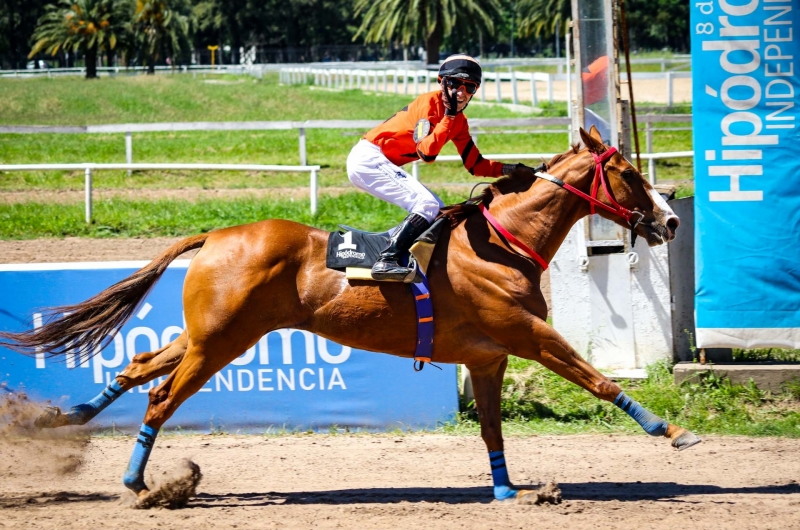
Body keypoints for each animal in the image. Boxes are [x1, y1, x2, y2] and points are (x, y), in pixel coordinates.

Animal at [0, 126, 700, 502]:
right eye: (629, 173)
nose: (669, 220)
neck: (501, 243)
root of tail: (216, 235)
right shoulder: (525, 333)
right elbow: (598, 379)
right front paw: (670, 430)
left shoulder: (488, 355)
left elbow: (492, 428)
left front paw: (506, 489)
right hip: (220, 343)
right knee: (160, 397)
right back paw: (139, 483)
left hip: (210, 335)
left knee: (140, 365)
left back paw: (70, 419)